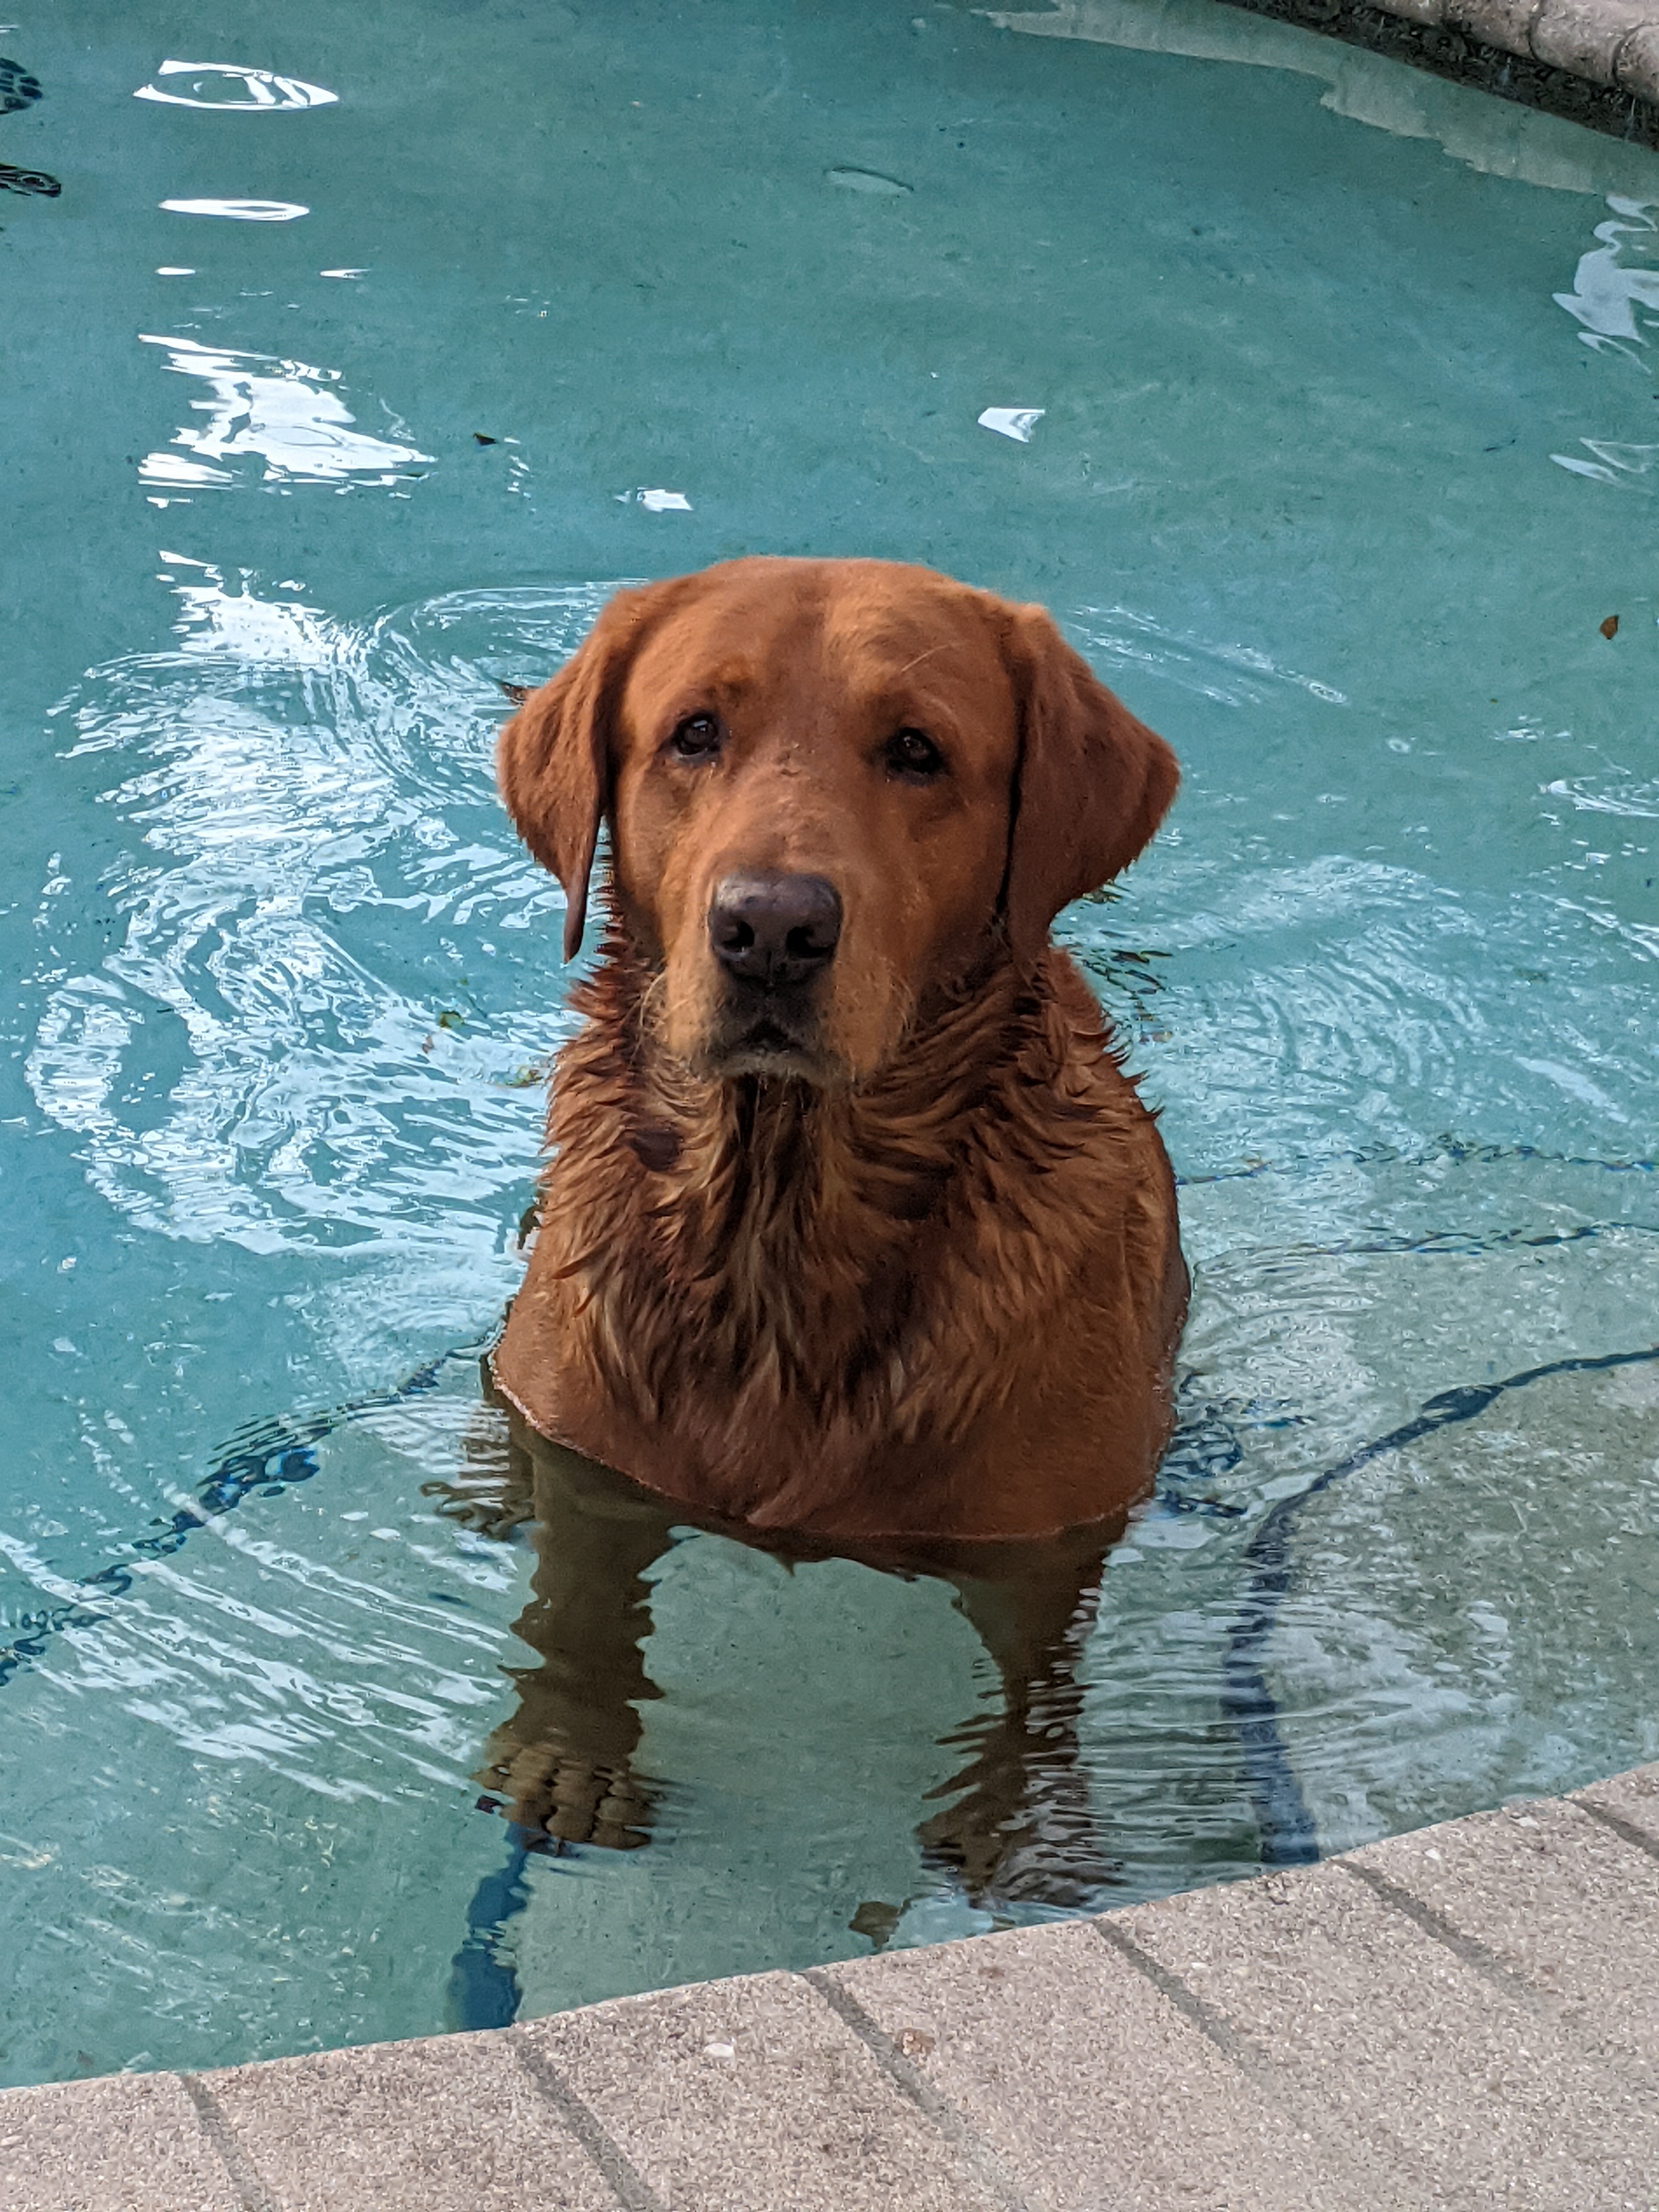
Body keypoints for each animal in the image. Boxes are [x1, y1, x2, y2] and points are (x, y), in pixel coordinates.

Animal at [473, 562, 1186, 1893]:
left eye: (916, 751)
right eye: (694, 732)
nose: (771, 928)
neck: (781, 1220)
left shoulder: (1047, 1546)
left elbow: (1038, 1681)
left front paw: (1014, 1810)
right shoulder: (592, 1458)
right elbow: (576, 1592)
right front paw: (567, 1744)